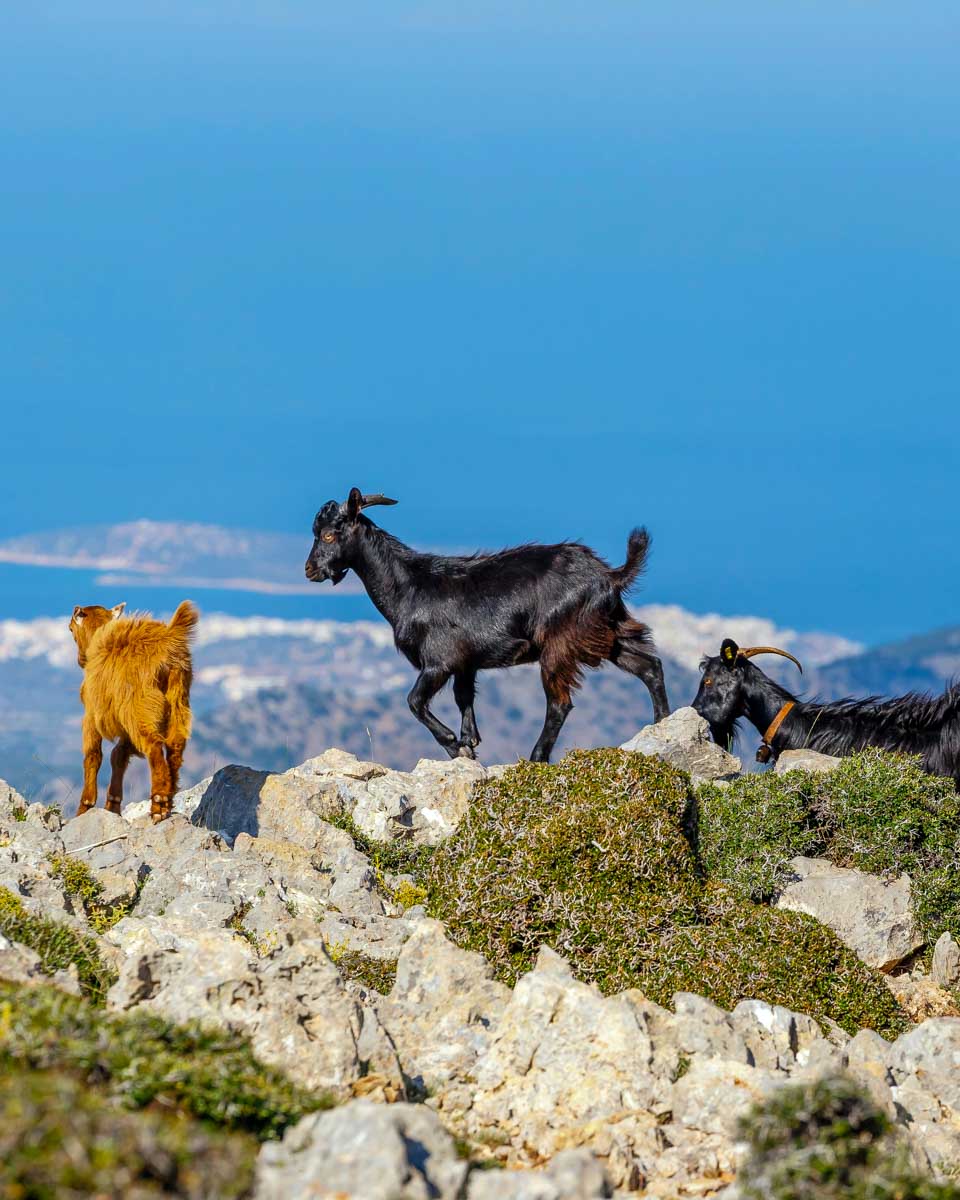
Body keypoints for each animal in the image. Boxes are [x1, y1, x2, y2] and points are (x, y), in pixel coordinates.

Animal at [68, 600, 198, 822]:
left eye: (70, 629)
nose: (80, 659)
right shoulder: (123, 722)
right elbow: (118, 755)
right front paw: (112, 805)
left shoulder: (92, 713)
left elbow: (93, 755)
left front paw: (85, 807)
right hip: (178, 700)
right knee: (175, 745)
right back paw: (169, 798)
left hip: (140, 708)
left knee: (154, 745)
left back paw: (159, 804)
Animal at [305, 488, 670, 763]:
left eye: (329, 534)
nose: (310, 570)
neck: (409, 587)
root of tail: (609, 575)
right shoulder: (465, 664)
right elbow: (463, 698)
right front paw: (470, 741)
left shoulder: (439, 662)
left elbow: (414, 701)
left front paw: (455, 746)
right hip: (609, 630)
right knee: (649, 665)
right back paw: (662, 725)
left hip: (560, 641)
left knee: (559, 703)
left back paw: (536, 757)